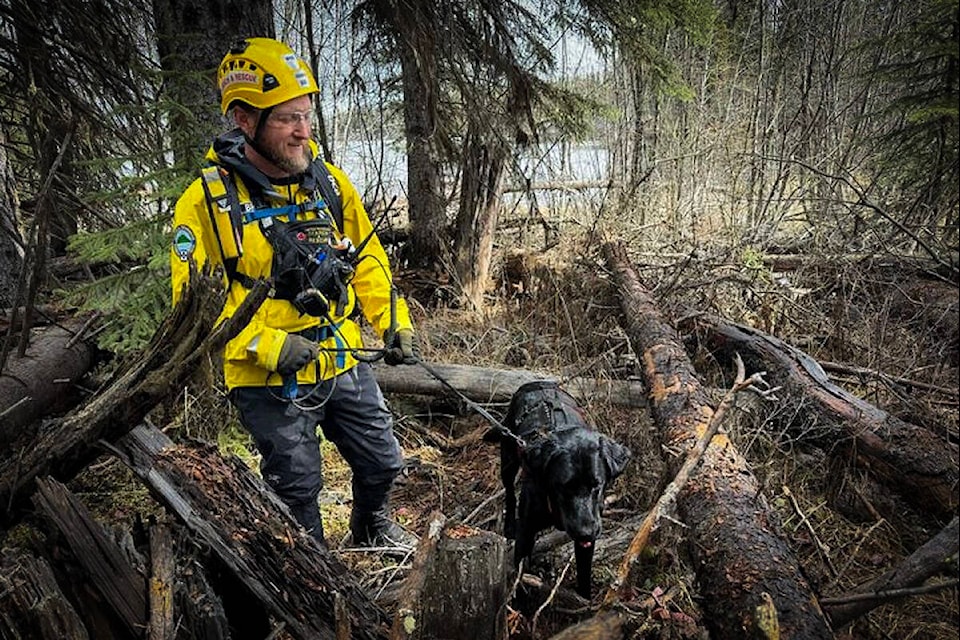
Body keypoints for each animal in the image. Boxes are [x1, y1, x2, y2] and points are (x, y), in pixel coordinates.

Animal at [488, 380, 632, 596]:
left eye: (597, 485)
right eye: (563, 487)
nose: (585, 532)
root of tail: (535, 383)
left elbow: (584, 576)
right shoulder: (526, 533)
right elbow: (520, 575)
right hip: (508, 460)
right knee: (510, 493)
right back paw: (509, 526)